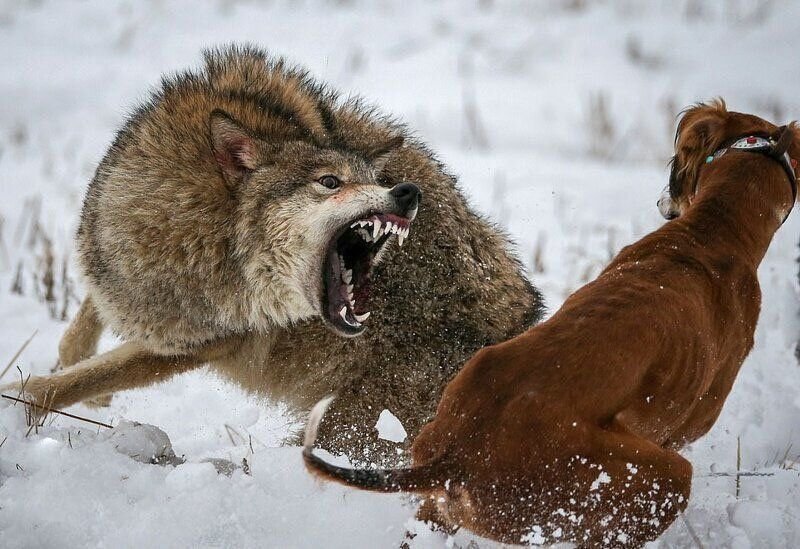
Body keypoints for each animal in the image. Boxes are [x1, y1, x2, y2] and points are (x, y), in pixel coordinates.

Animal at [304, 100, 796, 544]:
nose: (663, 202)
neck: (710, 234)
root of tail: (459, 454)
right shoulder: (687, 426)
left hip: (445, 498)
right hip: (656, 477)